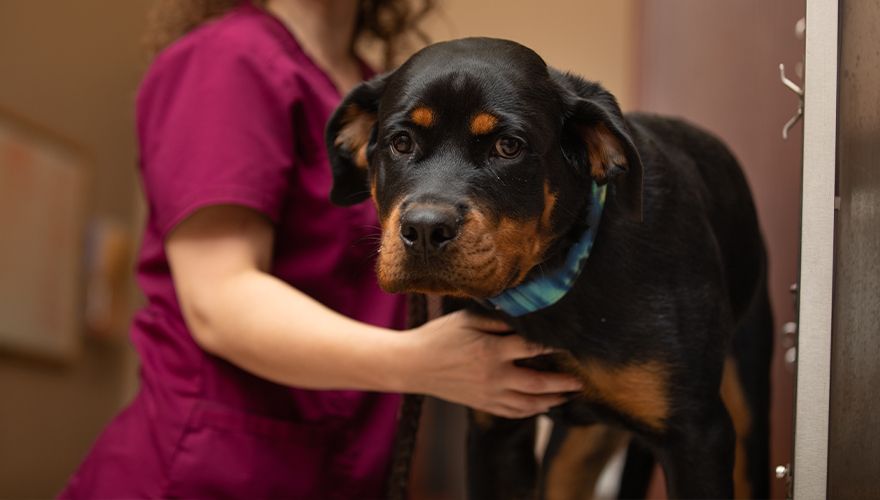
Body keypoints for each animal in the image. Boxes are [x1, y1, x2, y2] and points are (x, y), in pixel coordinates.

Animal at [324, 37, 768, 498]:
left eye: (508, 147)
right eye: (401, 142)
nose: (426, 229)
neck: (557, 278)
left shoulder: (698, 436)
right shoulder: (494, 427)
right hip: (574, 451)